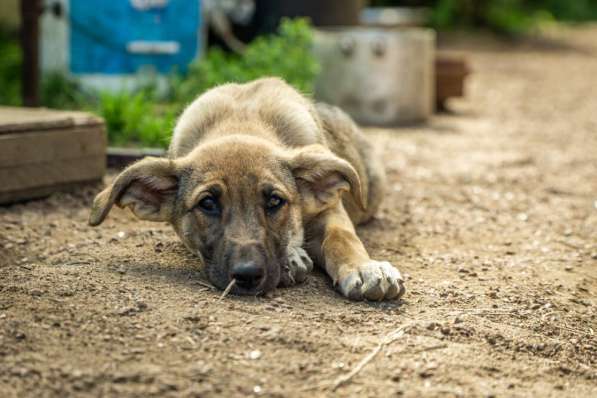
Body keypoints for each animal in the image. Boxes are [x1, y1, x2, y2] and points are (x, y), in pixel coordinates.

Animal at [89, 77, 406, 300]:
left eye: (275, 202)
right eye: (207, 204)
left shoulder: (329, 210)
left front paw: (364, 267)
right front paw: (293, 256)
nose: (248, 275)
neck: (240, 121)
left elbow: (342, 238)